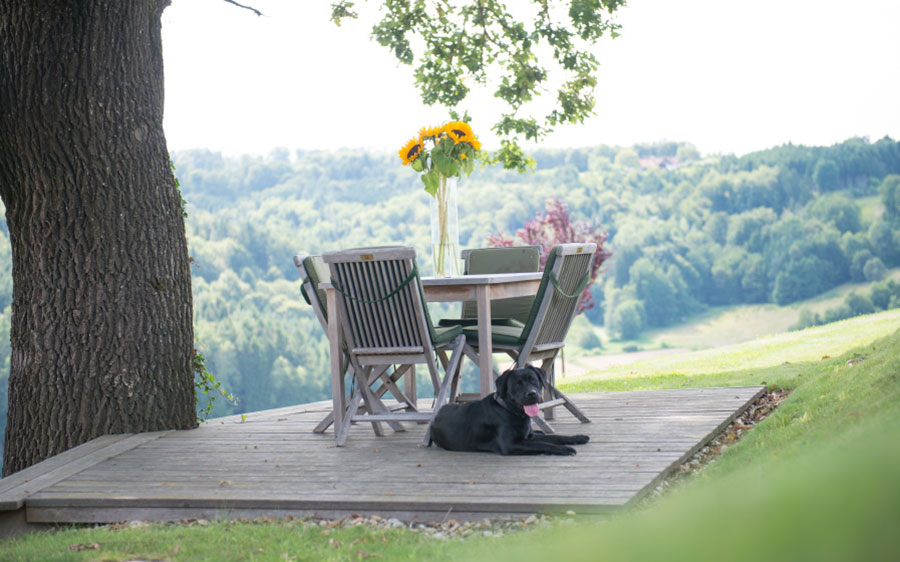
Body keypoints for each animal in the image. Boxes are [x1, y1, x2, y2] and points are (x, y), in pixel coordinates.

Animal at [428, 364, 592, 456]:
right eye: (517, 384)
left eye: (533, 379)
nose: (532, 394)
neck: (511, 411)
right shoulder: (511, 444)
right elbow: (544, 444)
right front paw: (565, 450)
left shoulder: (528, 437)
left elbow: (556, 437)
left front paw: (578, 437)